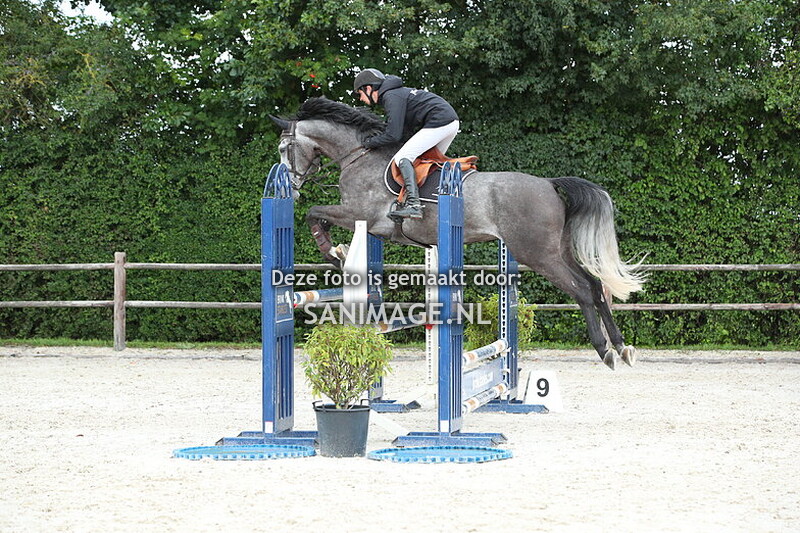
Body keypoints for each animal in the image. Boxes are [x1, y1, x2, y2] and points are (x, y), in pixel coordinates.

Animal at [270, 97, 645, 370]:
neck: (357, 156)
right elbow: (320, 217)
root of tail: (549, 184)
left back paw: (604, 350)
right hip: (559, 249)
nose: (292, 187)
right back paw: (622, 347)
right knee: (596, 286)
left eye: (283, 149)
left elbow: (315, 214)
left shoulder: (359, 215)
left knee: (582, 290)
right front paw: (340, 252)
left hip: (538, 253)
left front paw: (332, 252)